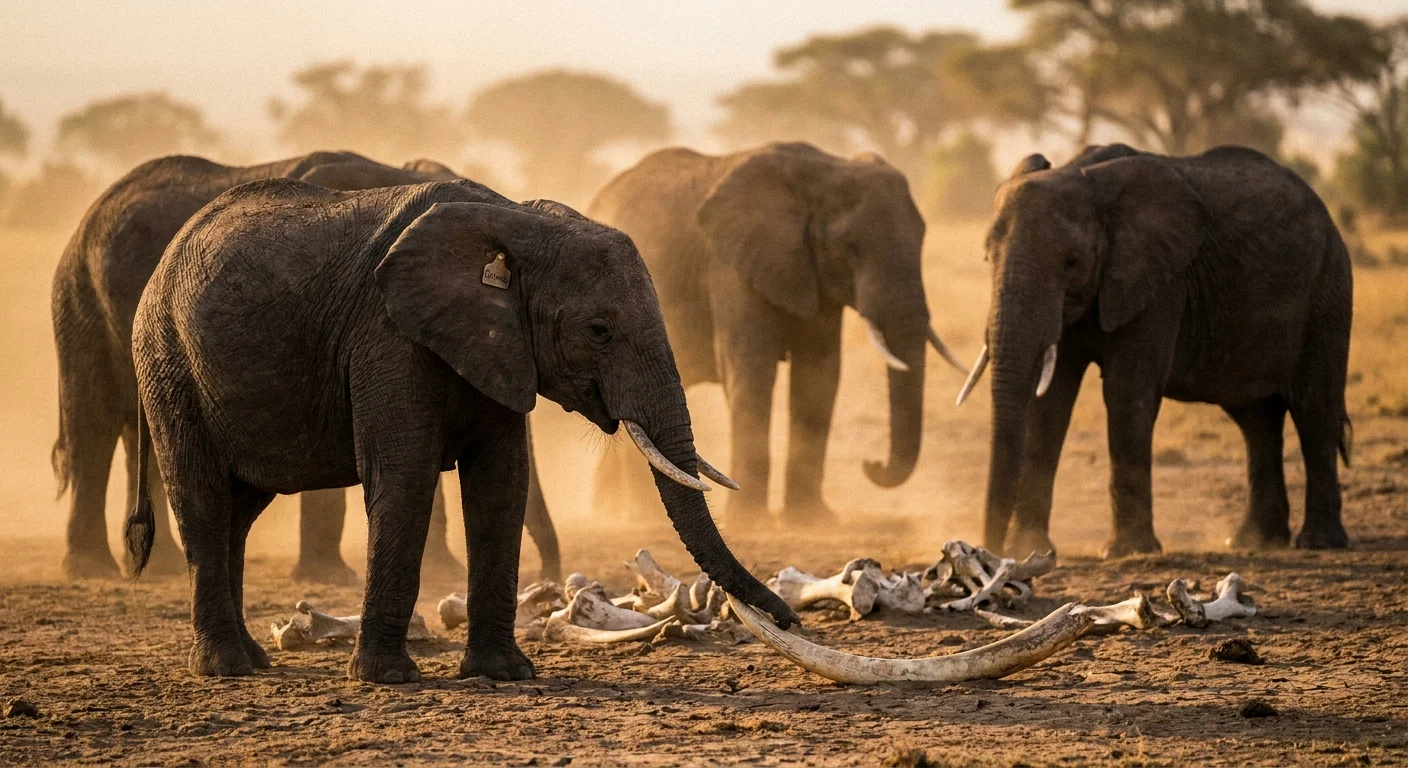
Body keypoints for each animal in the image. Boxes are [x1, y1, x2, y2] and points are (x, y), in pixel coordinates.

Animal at [49, 151, 560, 583]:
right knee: (92, 428)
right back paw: (91, 570)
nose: (546, 578)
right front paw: (331, 579)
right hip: (81, 303)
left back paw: (158, 570)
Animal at [124, 176, 795, 682]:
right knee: (205, 500)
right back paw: (227, 668)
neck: (515, 222)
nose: (789, 620)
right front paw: (389, 679)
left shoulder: (497, 343)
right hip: (167, 360)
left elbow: (500, 484)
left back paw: (253, 660)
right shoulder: (387, 335)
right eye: (599, 330)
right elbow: (404, 478)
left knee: (240, 510)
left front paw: (505, 675)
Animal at [587, 142, 964, 526]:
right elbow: (753, 371)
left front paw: (812, 520)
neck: (824, 170)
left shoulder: (815, 277)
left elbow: (819, 376)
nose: (871, 464)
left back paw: (609, 507)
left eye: (922, 238)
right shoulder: (730, 267)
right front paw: (751, 521)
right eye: (848, 245)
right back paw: (638, 516)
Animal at [963, 143, 1352, 559]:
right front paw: (1029, 550)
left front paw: (1126, 551)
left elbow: (1127, 392)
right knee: (1256, 419)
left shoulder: (1160, 283)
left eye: (1071, 262)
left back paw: (1319, 543)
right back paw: (1253, 542)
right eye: (987, 258)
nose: (990, 552)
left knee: (1314, 410)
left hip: (1328, 292)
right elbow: (1049, 402)